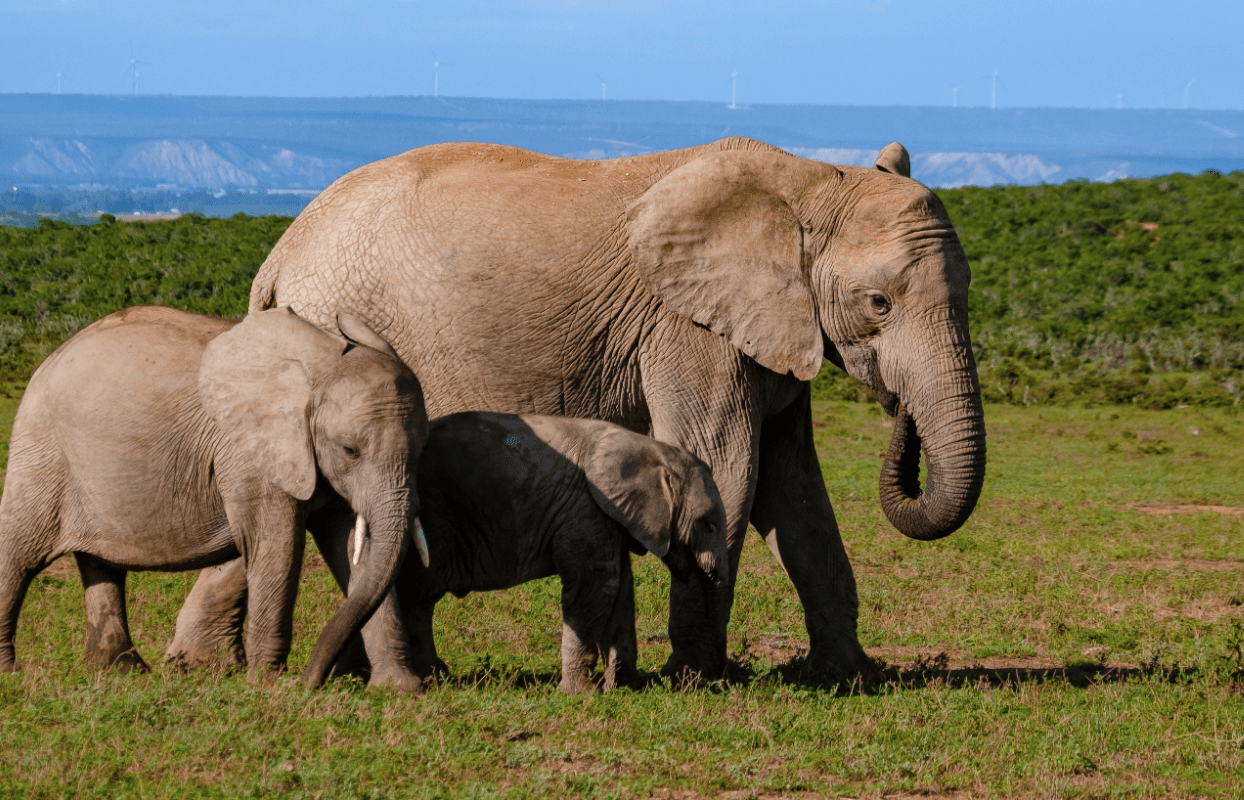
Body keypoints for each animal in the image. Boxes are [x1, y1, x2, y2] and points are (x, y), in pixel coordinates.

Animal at [0, 305, 430, 688]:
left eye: (421, 450)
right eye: (350, 450)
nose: (312, 680)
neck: (320, 364)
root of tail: (49, 359)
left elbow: (355, 549)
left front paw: (399, 690)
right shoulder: (249, 453)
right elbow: (277, 546)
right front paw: (270, 688)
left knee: (101, 564)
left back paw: (120, 672)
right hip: (40, 450)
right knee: (19, 554)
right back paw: (12, 676)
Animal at [173, 136, 987, 686]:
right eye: (877, 304)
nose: (897, 407)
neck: (812, 181)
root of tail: (281, 253)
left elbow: (799, 498)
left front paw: (851, 677)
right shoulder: (684, 327)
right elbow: (728, 466)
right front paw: (701, 680)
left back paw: (206, 665)